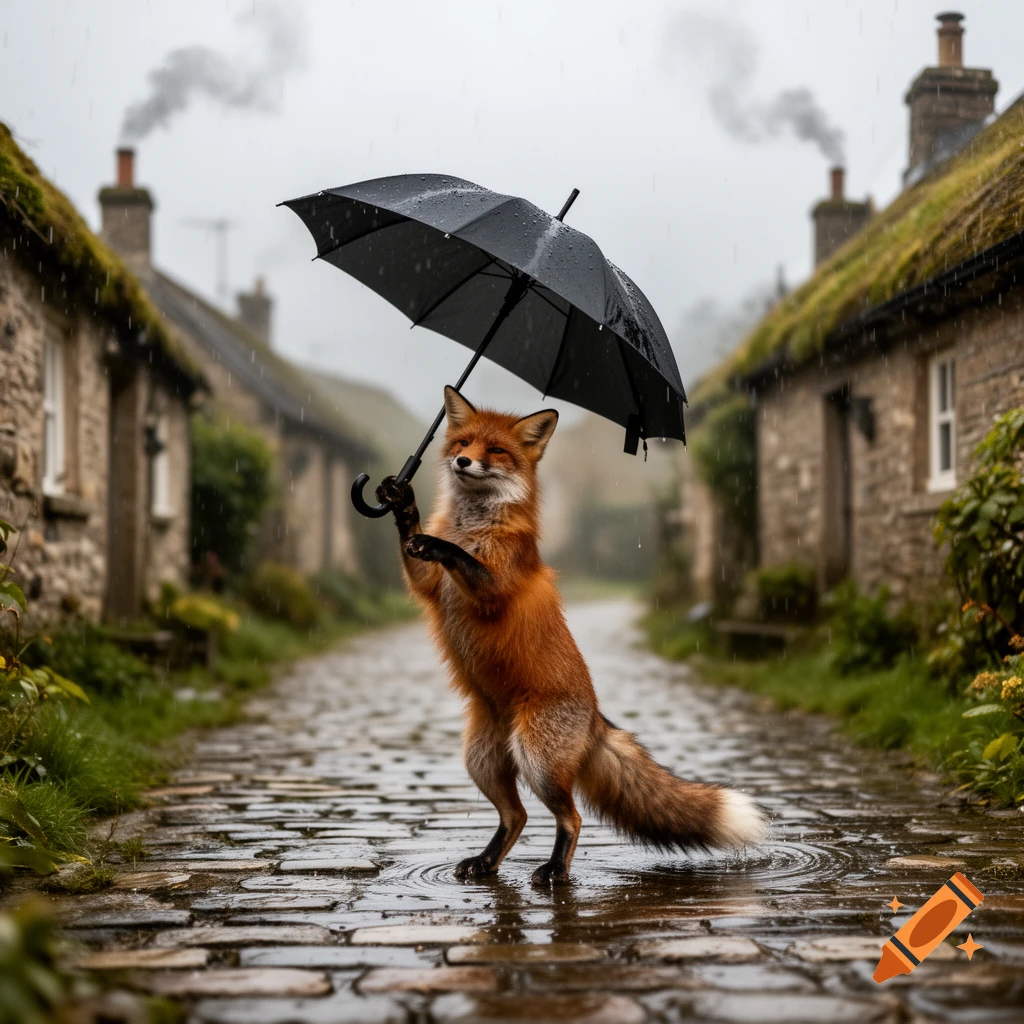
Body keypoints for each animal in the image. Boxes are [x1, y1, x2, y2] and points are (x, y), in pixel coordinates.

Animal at [375, 385, 767, 885]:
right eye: (462, 443)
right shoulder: (428, 584)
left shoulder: (495, 588)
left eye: (495, 451)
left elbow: (463, 559)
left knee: (572, 817)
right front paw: (402, 502)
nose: (463, 462)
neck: (473, 525)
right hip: (482, 761)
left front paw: (441, 544)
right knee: (517, 816)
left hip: (536, 761)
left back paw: (554, 870)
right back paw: (485, 862)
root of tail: (596, 717)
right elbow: (420, 556)